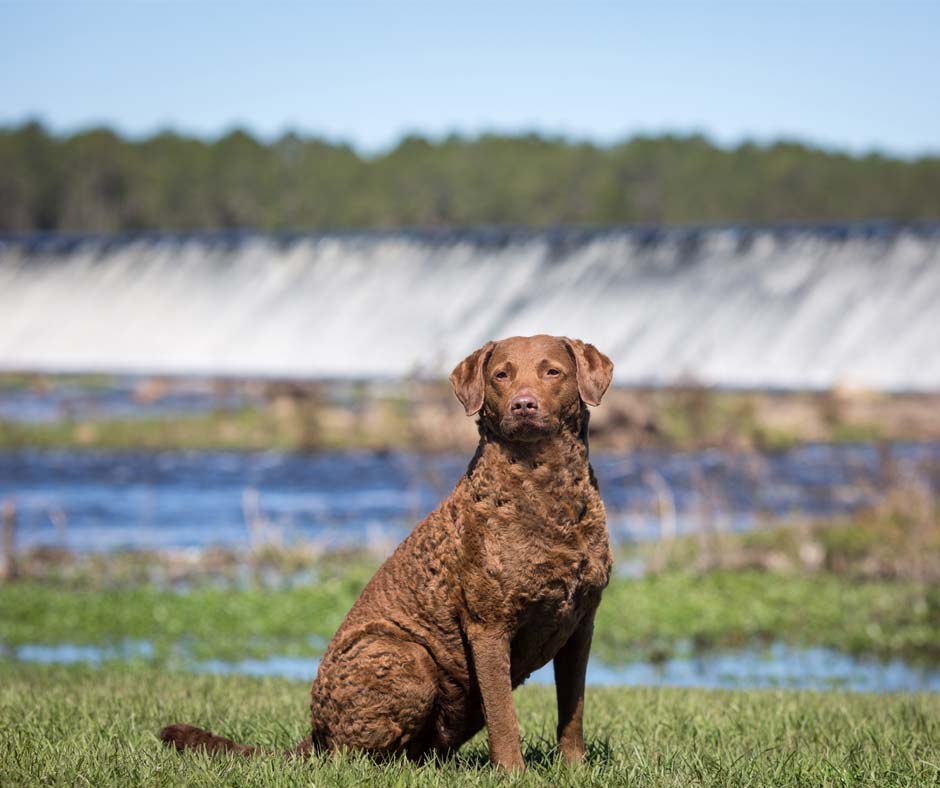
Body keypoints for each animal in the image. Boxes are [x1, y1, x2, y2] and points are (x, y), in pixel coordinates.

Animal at [160, 332, 616, 768]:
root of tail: (315, 731)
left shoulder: (582, 624)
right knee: (352, 755)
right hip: (407, 656)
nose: (523, 404)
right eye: (501, 375)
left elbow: (572, 710)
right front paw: (512, 773)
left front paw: (574, 768)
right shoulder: (488, 626)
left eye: (552, 372)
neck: (546, 494)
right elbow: (504, 717)